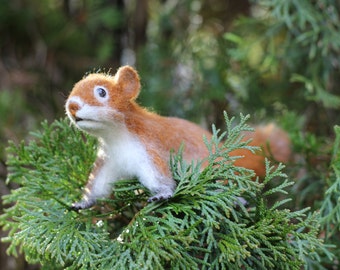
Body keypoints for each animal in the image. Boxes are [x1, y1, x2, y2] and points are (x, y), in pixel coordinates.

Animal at [64, 66, 290, 210]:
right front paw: (84, 201)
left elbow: (160, 178)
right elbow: (97, 186)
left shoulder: (149, 150)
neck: (116, 137)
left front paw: (163, 193)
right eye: (74, 87)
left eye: (102, 92)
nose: (72, 106)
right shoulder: (109, 161)